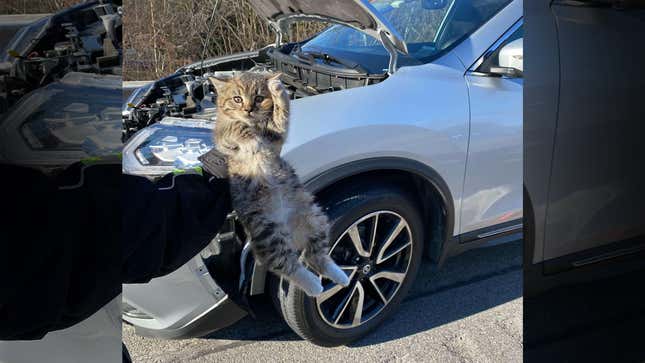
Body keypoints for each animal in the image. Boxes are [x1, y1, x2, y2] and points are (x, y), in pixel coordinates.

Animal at [209, 72, 350, 298]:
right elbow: (234, 126)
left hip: (314, 217)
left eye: (259, 98)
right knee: (283, 264)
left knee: (312, 256)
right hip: (266, 233)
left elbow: (282, 116)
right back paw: (313, 285)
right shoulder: (221, 135)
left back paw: (335, 277)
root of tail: (288, 229)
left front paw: (277, 89)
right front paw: (249, 138)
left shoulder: (275, 136)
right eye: (237, 99)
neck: (256, 126)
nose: (248, 109)